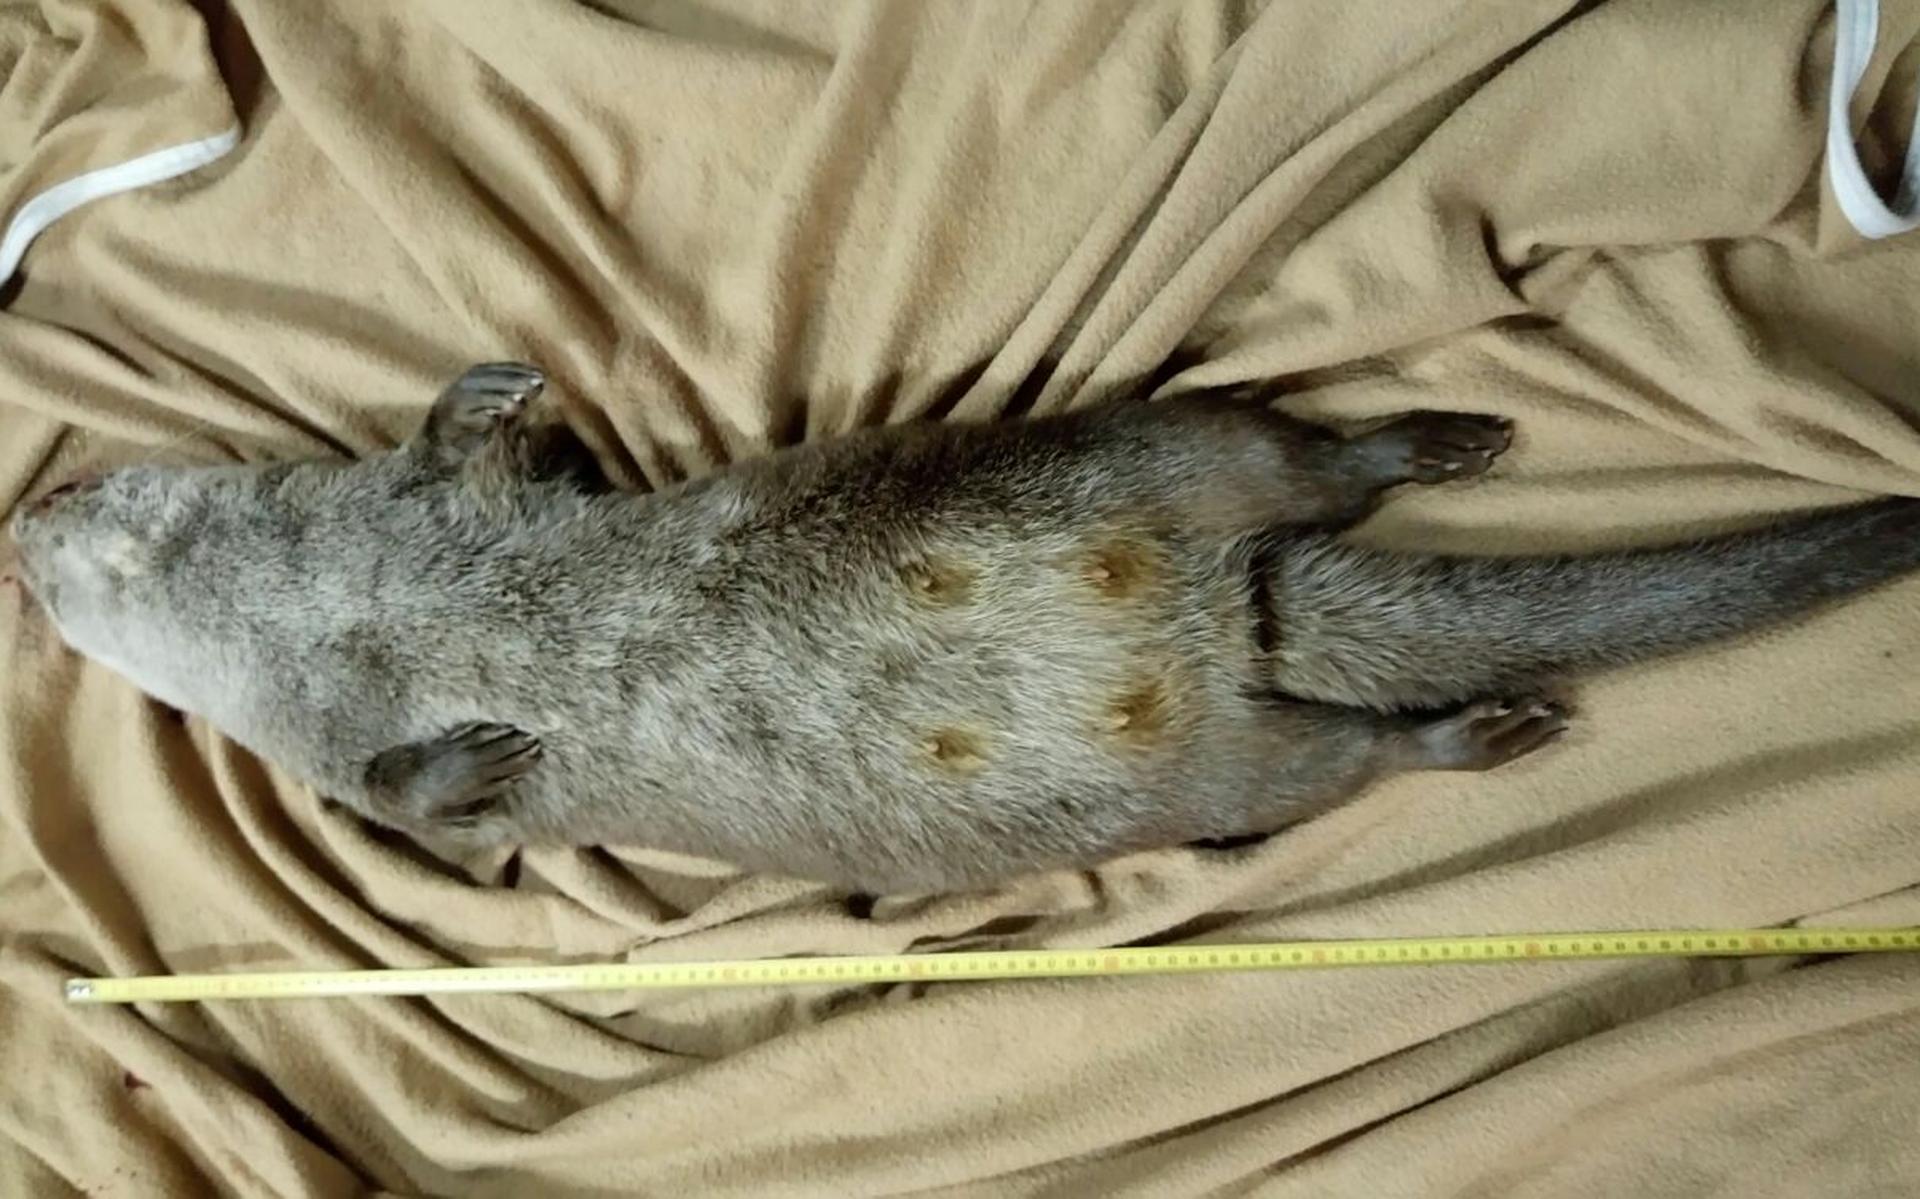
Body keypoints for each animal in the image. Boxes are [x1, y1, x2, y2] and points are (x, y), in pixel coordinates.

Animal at [11, 362, 1920, 893]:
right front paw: (478, 749)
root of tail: (1233, 623)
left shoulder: (447, 509)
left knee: (1295, 457)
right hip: (1233, 768)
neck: (330, 594)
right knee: (1352, 750)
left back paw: (1436, 442)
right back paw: (1485, 713)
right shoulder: (337, 761)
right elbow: (417, 811)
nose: (23, 520)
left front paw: (489, 388)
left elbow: (490, 457)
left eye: (71, 490)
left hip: (1156, 444)